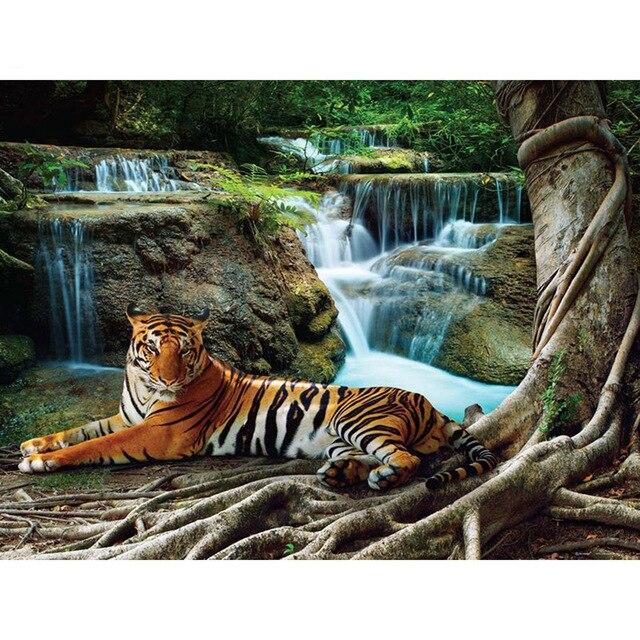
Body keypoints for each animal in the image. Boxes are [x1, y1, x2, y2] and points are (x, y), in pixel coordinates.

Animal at [18, 305, 499, 491]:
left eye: (184, 351)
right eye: (152, 349)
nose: (168, 379)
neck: (142, 386)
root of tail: (429, 402)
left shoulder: (158, 433)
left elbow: (96, 444)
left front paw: (42, 461)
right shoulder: (127, 417)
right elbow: (83, 429)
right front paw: (34, 444)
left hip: (358, 420)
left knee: (408, 459)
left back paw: (380, 477)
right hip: (341, 438)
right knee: (375, 456)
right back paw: (340, 474)